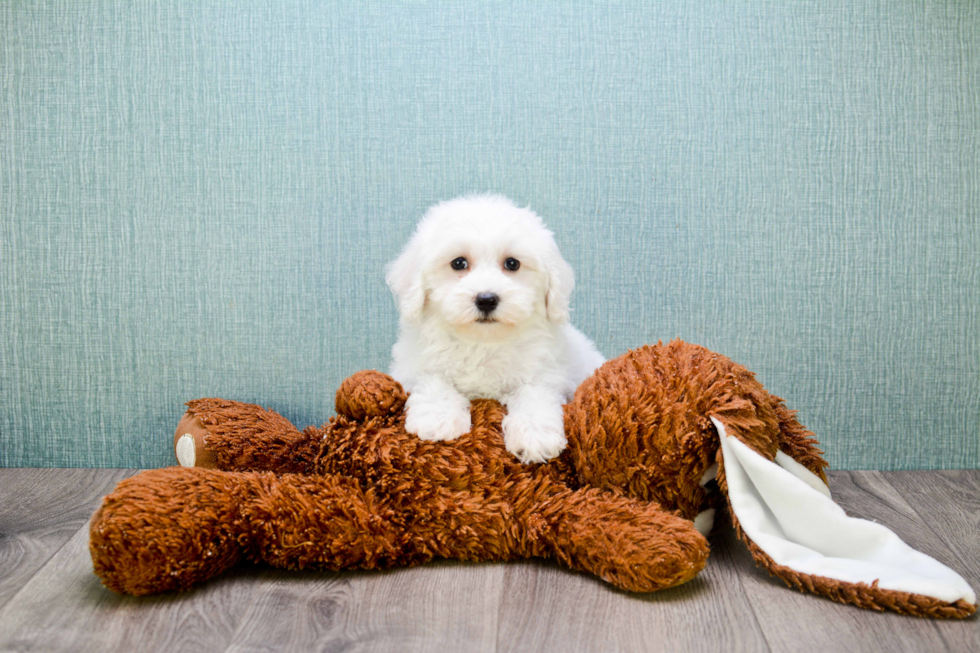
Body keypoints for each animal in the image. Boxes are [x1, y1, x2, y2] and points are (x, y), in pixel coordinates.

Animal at [384, 194, 604, 464]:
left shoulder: (546, 371)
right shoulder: (411, 366)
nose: (486, 299)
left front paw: (535, 435)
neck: (483, 342)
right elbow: (433, 379)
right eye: (458, 263)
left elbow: (535, 393)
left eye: (512, 264)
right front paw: (438, 419)